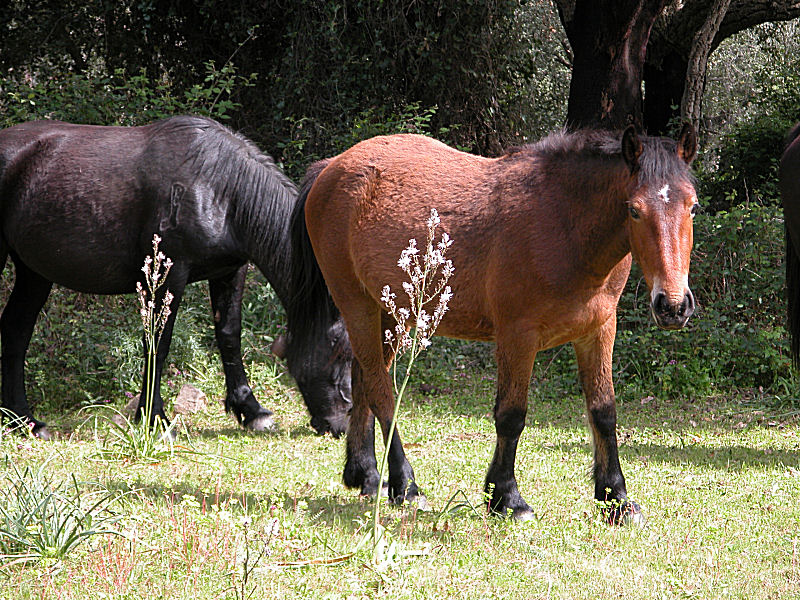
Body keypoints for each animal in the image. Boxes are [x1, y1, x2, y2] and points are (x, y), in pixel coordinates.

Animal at [0, 115, 352, 438]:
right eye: (338, 350)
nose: (341, 424)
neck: (221, 188)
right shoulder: (169, 273)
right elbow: (159, 341)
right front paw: (155, 419)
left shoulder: (230, 271)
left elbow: (229, 336)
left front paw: (251, 410)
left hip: (34, 272)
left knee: (16, 332)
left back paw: (24, 421)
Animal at [290, 125, 696, 520]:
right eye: (634, 211)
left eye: (692, 207)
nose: (673, 305)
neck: (563, 224)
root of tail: (331, 167)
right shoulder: (518, 336)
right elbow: (511, 415)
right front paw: (506, 498)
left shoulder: (597, 331)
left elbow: (604, 412)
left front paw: (616, 500)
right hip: (357, 304)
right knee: (380, 389)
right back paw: (406, 484)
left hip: (391, 311)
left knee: (363, 378)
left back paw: (367, 476)